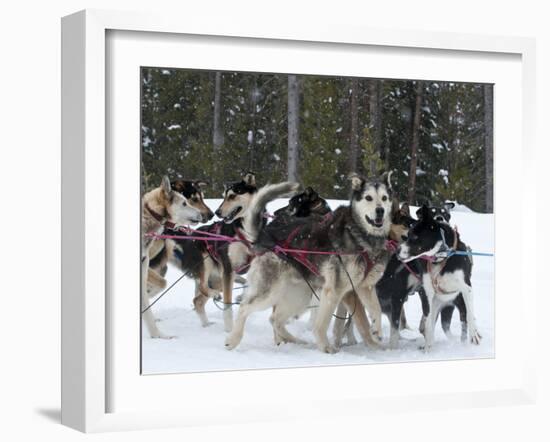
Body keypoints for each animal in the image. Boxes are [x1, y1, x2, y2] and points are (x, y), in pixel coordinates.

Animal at [226, 172, 394, 352]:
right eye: (368, 198)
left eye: (384, 198)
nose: (380, 210)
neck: (360, 235)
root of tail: (263, 235)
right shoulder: (336, 290)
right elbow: (324, 324)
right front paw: (326, 347)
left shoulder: (364, 287)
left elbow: (375, 310)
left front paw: (376, 335)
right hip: (271, 292)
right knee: (245, 307)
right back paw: (233, 340)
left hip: (300, 296)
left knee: (275, 320)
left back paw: (296, 341)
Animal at [396, 205, 484, 350]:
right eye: (407, 235)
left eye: (414, 236)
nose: (397, 251)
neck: (441, 257)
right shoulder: (427, 293)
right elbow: (428, 324)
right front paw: (427, 347)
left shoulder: (466, 288)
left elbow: (471, 315)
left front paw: (474, 334)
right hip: (437, 306)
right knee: (433, 324)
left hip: (459, 304)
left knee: (463, 321)